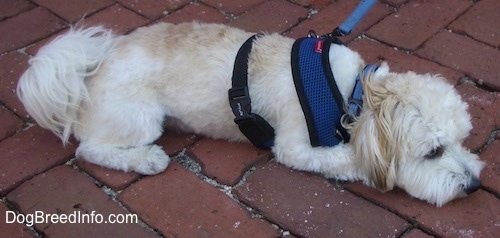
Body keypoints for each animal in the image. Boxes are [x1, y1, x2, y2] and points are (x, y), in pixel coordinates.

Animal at [19, 22, 484, 206]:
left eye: (463, 140)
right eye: (434, 151)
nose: (476, 184)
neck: (352, 93)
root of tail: (90, 74)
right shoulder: (295, 146)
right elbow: (346, 158)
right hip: (138, 116)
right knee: (90, 149)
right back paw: (143, 159)